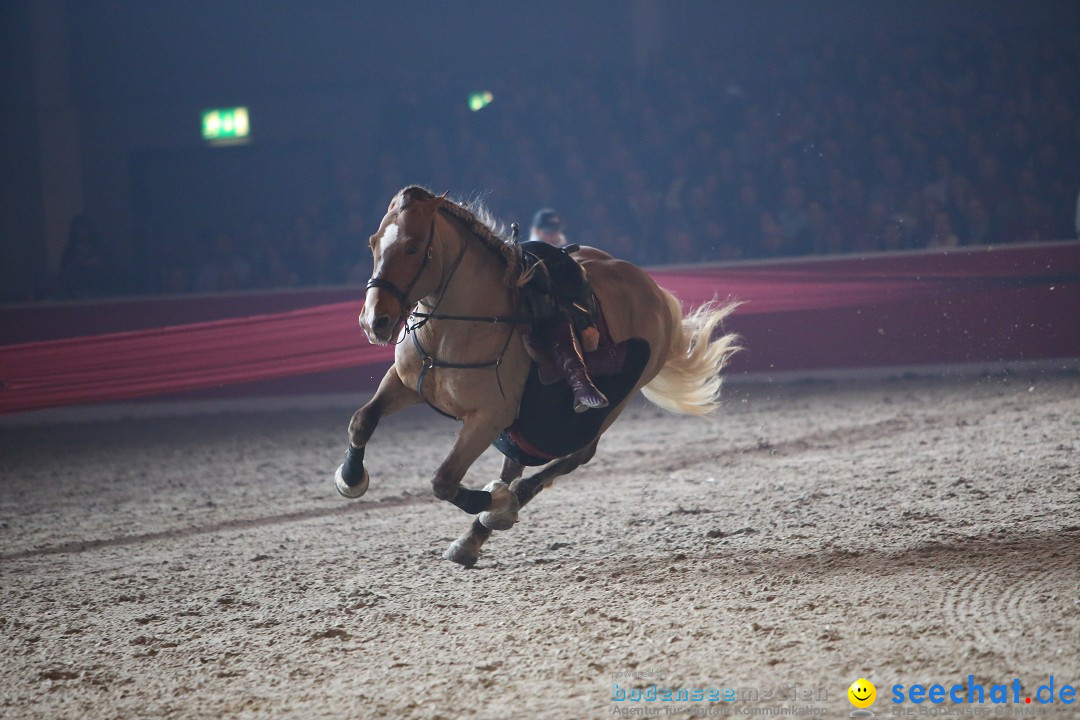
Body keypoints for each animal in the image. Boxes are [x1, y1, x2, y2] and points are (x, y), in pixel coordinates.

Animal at [334, 187, 743, 569]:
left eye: (413, 247)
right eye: (373, 243)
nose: (374, 321)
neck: (454, 330)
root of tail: (655, 293)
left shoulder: (488, 418)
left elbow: (444, 480)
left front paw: (498, 503)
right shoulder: (406, 384)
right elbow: (362, 421)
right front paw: (351, 478)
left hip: (608, 408)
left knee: (571, 458)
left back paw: (499, 510)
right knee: (518, 462)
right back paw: (474, 536)